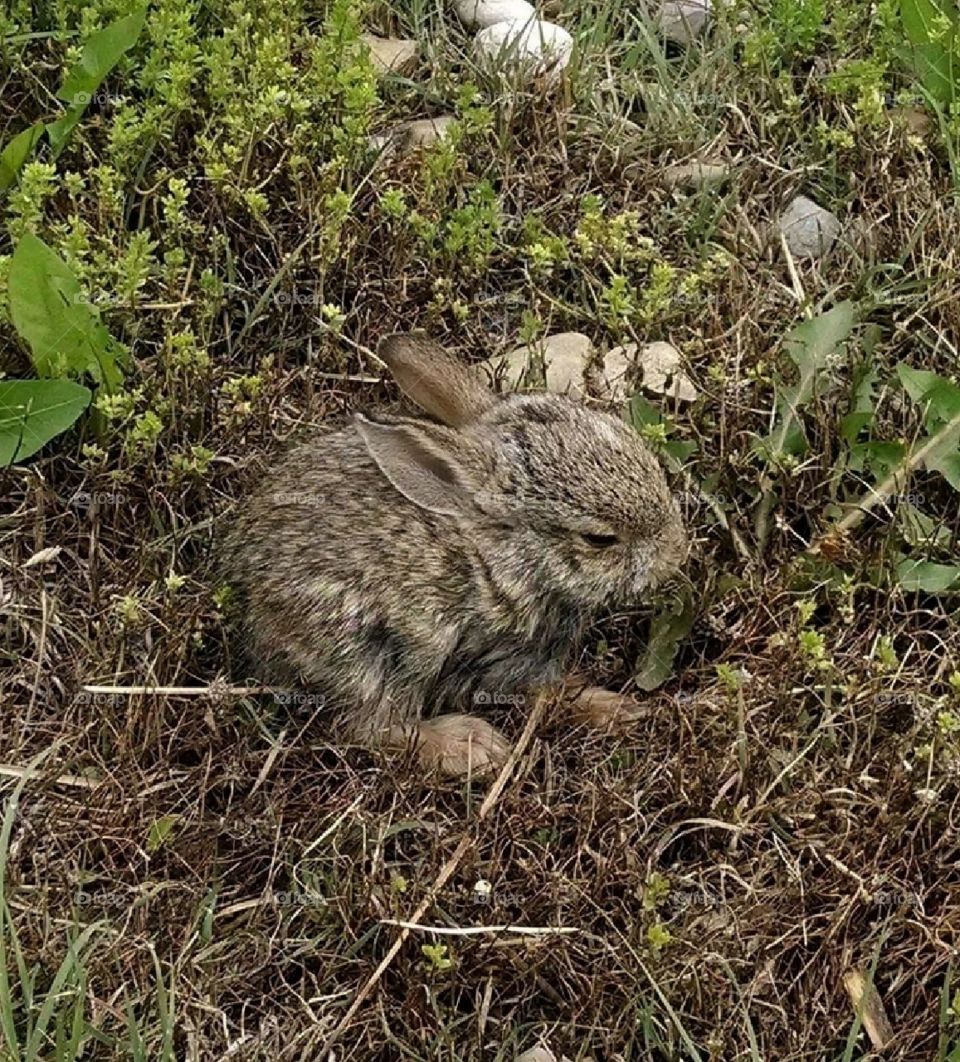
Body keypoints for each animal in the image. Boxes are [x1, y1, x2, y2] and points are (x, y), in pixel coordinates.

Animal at [222, 332, 688, 776]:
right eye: (599, 539)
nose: (675, 553)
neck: (503, 558)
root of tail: (251, 604)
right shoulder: (501, 656)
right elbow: (550, 689)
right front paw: (615, 708)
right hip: (372, 652)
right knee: (371, 725)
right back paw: (472, 746)